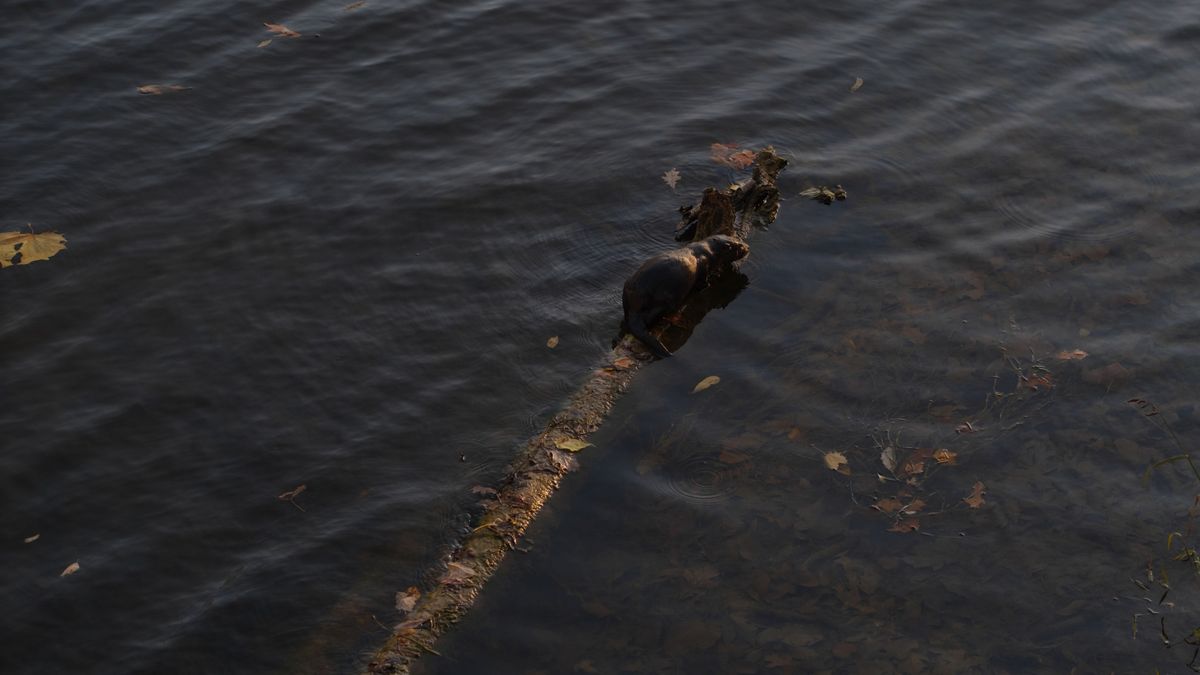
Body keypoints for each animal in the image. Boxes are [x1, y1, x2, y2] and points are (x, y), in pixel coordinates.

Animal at [614, 234, 750, 358]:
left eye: (739, 239)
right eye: (740, 246)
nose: (748, 247)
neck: (708, 251)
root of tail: (633, 307)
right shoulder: (703, 264)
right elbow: (704, 280)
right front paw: (710, 281)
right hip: (665, 300)